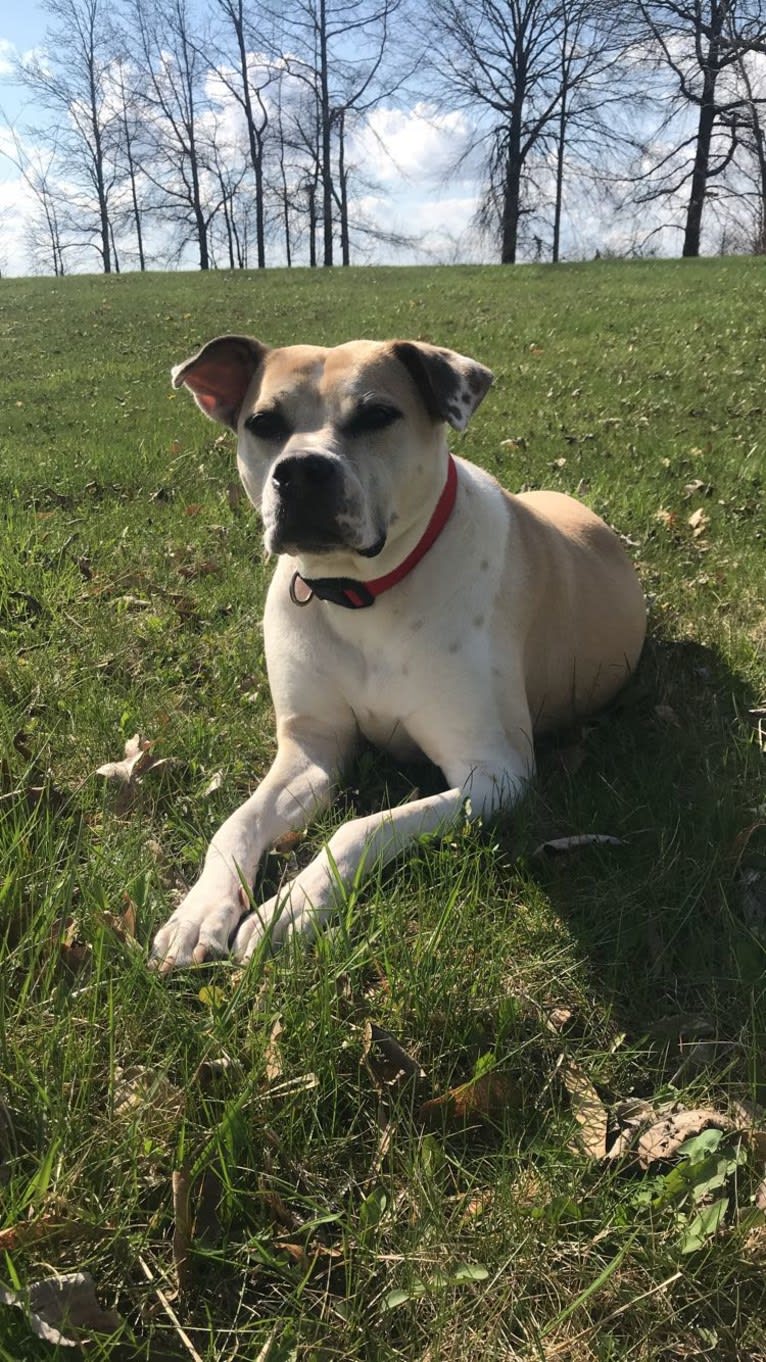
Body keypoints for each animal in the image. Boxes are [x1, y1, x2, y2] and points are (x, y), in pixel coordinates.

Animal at [150, 340, 643, 975]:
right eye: (263, 423)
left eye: (377, 415)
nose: (302, 470)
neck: (363, 593)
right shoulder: (311, 748)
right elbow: (236, 824)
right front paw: (199, 911)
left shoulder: (496, 773)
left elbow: (365, 826)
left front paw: (293, 905)